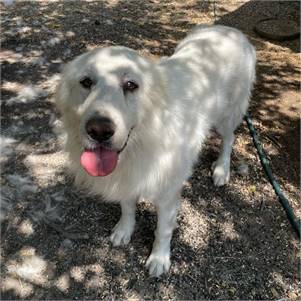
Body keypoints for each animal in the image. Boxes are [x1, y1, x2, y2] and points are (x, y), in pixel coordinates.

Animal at [55, 24, 254, 276]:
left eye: (131, 85)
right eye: (86, 82)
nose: (99, 130)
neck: (142, 141)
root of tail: (231, 30)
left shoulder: (168, 195)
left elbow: (163, 231)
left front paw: (159, 259)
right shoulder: (127, 179)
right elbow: (127, 208)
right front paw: (124, 230)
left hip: (226, 116)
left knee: (229, 138)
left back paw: (221, 170)